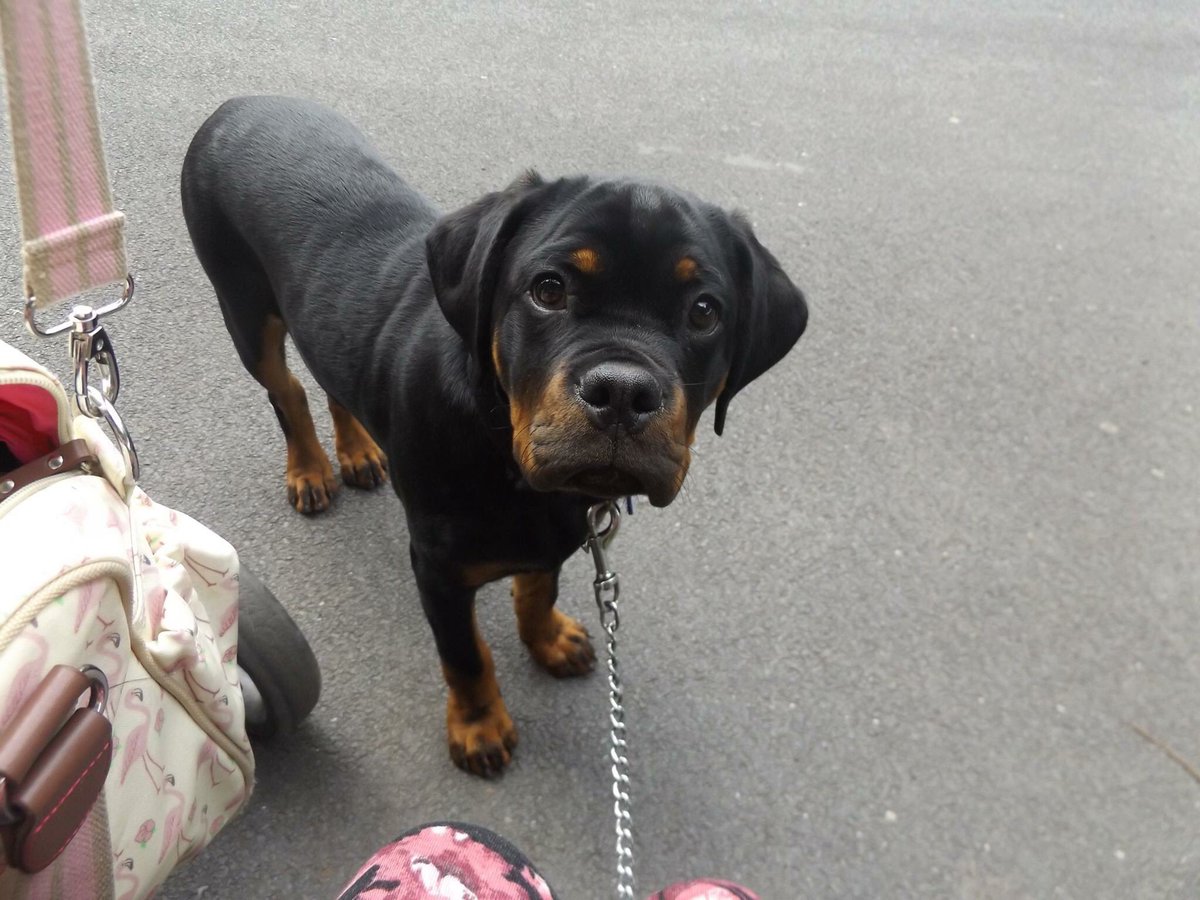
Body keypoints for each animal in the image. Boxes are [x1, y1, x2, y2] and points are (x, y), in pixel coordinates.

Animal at [182, 97, 811, 777]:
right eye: (548, 289)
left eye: (703, 311)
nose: (622, 392)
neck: (499, 436)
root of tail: (236, 104)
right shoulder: (439, 567)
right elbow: (465, 656)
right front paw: (480, 728)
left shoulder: (556, 533)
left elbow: (537, 588)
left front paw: (549, 639)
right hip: (244, 307)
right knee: (288, 391)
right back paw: (310, 470)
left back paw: (357, 452)